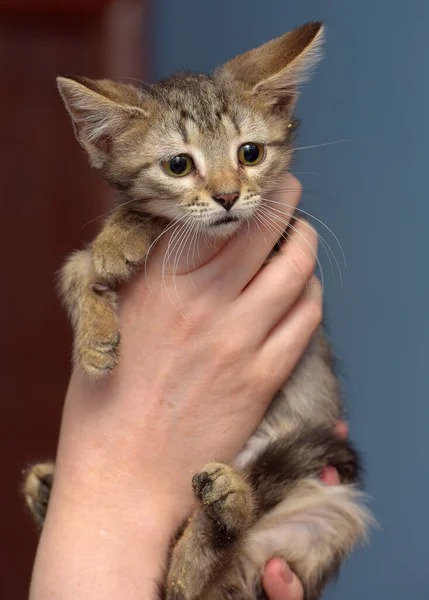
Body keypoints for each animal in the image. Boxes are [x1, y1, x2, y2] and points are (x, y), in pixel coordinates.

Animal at [24, 23, 372, 600]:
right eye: (178, 165)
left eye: (250, 153)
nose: (228, 196)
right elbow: (75, 269)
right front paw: (95, 337)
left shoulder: (274, 232)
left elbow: (156, 224)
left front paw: (122, 234)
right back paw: (49, 490)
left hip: (319, 514)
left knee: (194, 579)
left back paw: (217, 521)